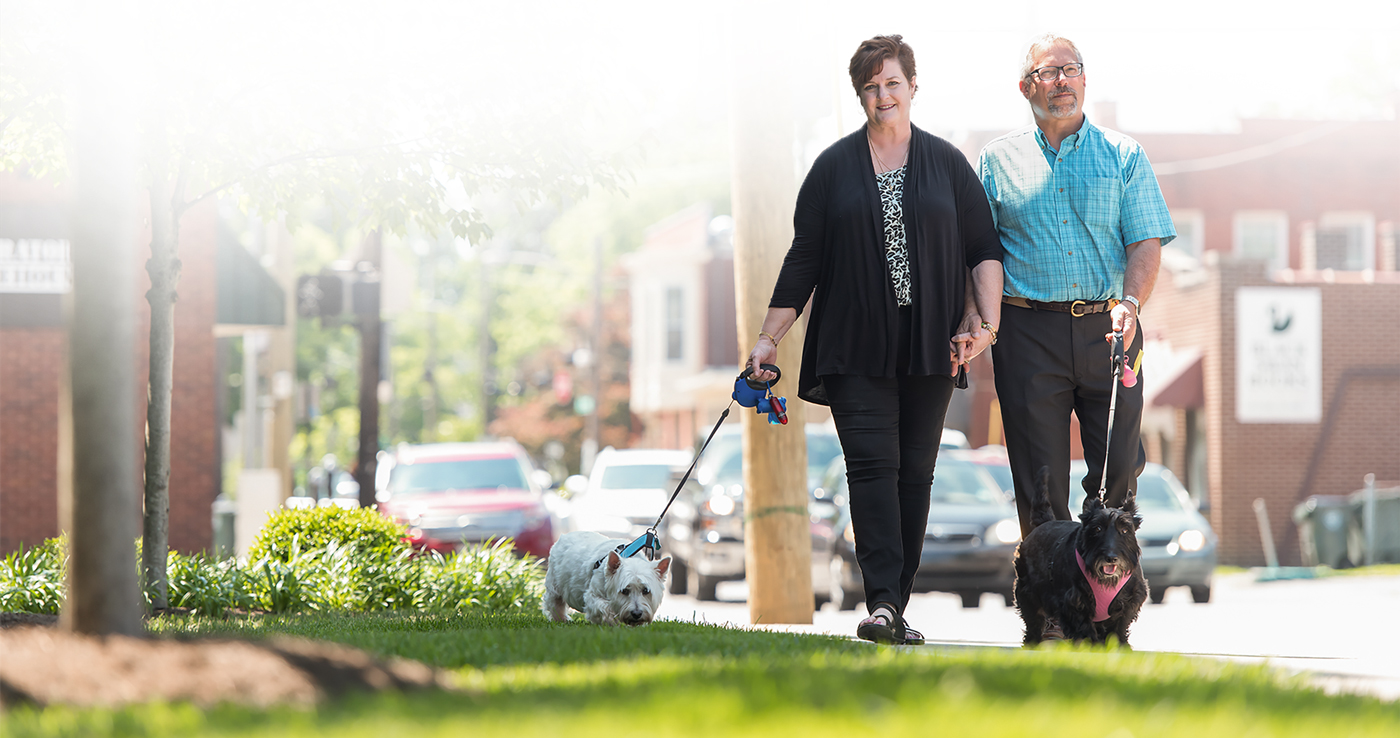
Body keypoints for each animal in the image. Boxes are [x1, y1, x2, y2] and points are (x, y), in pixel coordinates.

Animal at [540, 529, 672, 627]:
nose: (636, 613)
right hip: (554, 583)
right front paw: (613, 621)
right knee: (554, 603)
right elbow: (604, 608)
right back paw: (562, 619)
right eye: (624, 591)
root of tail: (563, 536)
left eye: (646, 591)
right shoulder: (591, 596)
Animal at [1019, 467, 1148, 646]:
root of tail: (1043, 523)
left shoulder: (1130, 599)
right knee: (1034, 620)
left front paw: (1119, 645)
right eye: (1097, 528)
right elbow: (1083, 627)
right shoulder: (1074, 601)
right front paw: (1088, 645)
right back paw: (1033, 641)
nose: (1111, 557)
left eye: (1124, 530)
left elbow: (1119, 626)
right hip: (1027, 591)